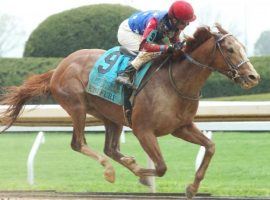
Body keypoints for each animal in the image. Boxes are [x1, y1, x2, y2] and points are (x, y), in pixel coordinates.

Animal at [1, 24, 260, 198]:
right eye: (229, 49)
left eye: (242, 47)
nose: (253, 77)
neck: (176, 81)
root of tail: (59, 67)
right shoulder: (143, 130)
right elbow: (161, 167)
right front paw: (142, 174)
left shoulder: (181, 127)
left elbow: (210, 146)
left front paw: (192, 187)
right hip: (77, 106)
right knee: (78, 143)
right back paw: (109, 170)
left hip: (110, 116)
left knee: (110, 148)